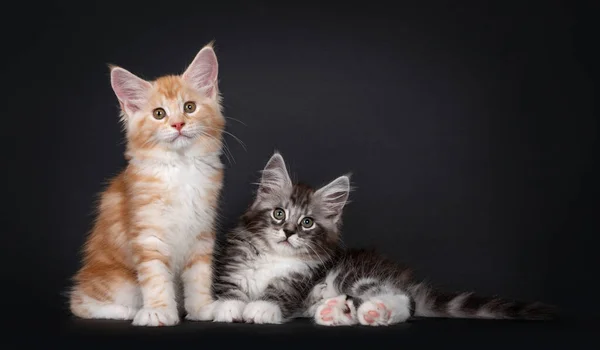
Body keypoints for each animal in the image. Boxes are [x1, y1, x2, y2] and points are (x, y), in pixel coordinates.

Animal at [68, 43, 227, 326]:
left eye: (189, 107)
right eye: (159, 114)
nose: (178, 124)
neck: (180, 168)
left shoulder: (201, 234)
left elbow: (199, 277)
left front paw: (202, 309)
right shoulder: (148, 234)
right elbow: (155, 278)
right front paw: (159, 311)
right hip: (118, 281)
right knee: (80, 302)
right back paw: (128, 312)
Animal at [204, 152, 556, 326]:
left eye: (307, 223)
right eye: (279, 214)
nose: (288, 232)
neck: (275, 257)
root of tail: (400, 275)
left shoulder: (299, 280)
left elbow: (278, 293)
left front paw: (261, 308)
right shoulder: (233, 266)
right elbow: (229, 290)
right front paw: (229, 307)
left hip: (353, 275)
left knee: (405, 302)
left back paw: (376, 312)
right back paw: (335, 312)